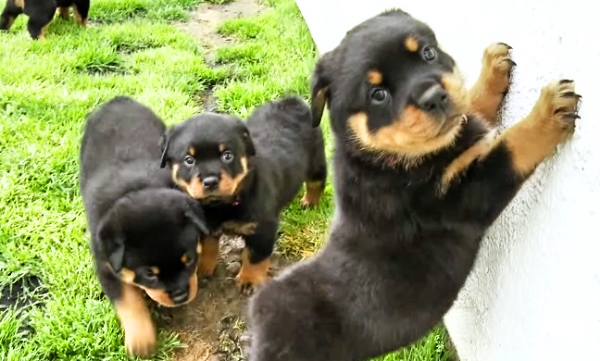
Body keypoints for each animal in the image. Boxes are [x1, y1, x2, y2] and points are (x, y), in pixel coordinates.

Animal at [79, 95, 211, 358]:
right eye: (150, 274)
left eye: (189, 260)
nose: (180, 295)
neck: (137, 191)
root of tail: (117, 100)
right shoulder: (105, 265)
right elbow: (128, 300)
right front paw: (141, 339)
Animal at [159, 95, 328, 292]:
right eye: (189, 160)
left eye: (227, 155)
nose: (210, 181)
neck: (221, 205)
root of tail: (292, 101)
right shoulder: (206, 225)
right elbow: (208, 247)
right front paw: (201, 269)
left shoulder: (262, 228)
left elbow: (255, 256)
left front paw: (249, 280)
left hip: (316, 160)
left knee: (316, 182)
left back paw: (309, 202)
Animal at [247, 8, 580, 360]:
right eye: (378, 94)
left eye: (427, 53)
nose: (434, 97)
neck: (386, 158)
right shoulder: (463, 196)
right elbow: (510, 149)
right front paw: (547, 112)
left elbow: (472, 108)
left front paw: (492, 67)